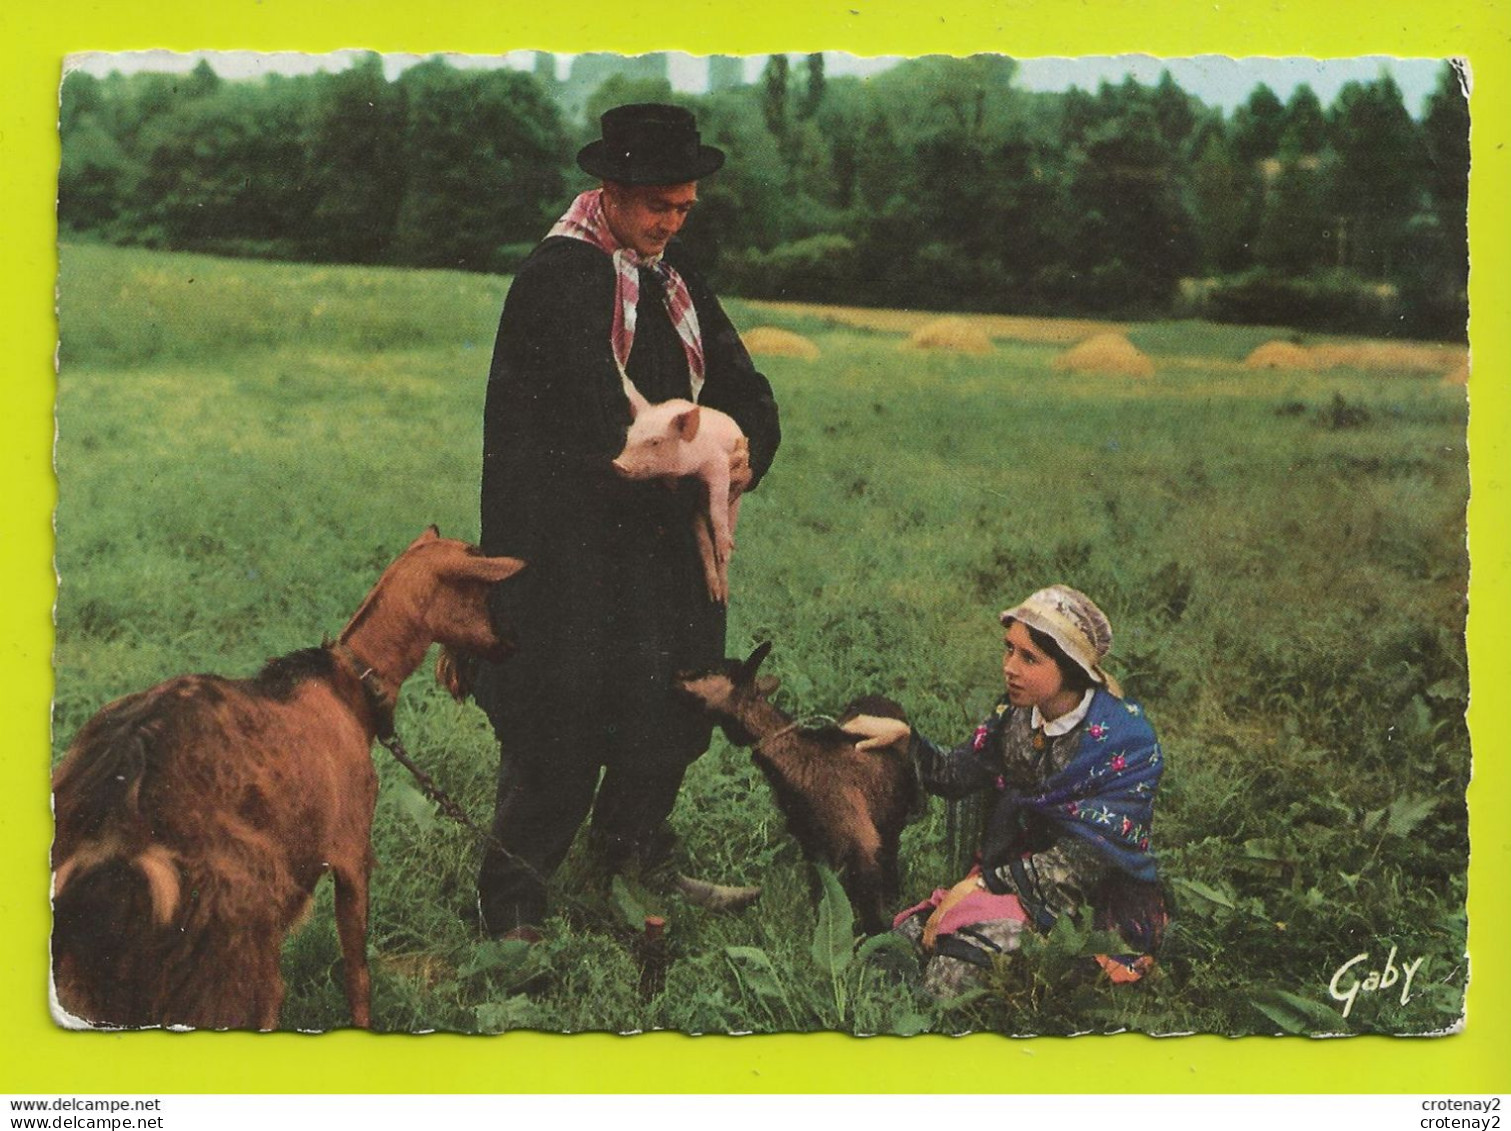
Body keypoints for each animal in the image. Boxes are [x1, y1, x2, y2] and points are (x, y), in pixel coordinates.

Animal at [51, 525, 525, 1026]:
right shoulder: (352, 851)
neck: (349, 682)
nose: (513, 644)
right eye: (485, 589)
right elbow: (357, 972)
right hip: (230, 947)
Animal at [676, 640, 912, 930]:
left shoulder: (861, 839)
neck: (802, 760)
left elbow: (869, 904)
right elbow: (822, 893)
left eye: (710, 671)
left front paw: (878, 934)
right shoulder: (811, 843)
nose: (676, 675)